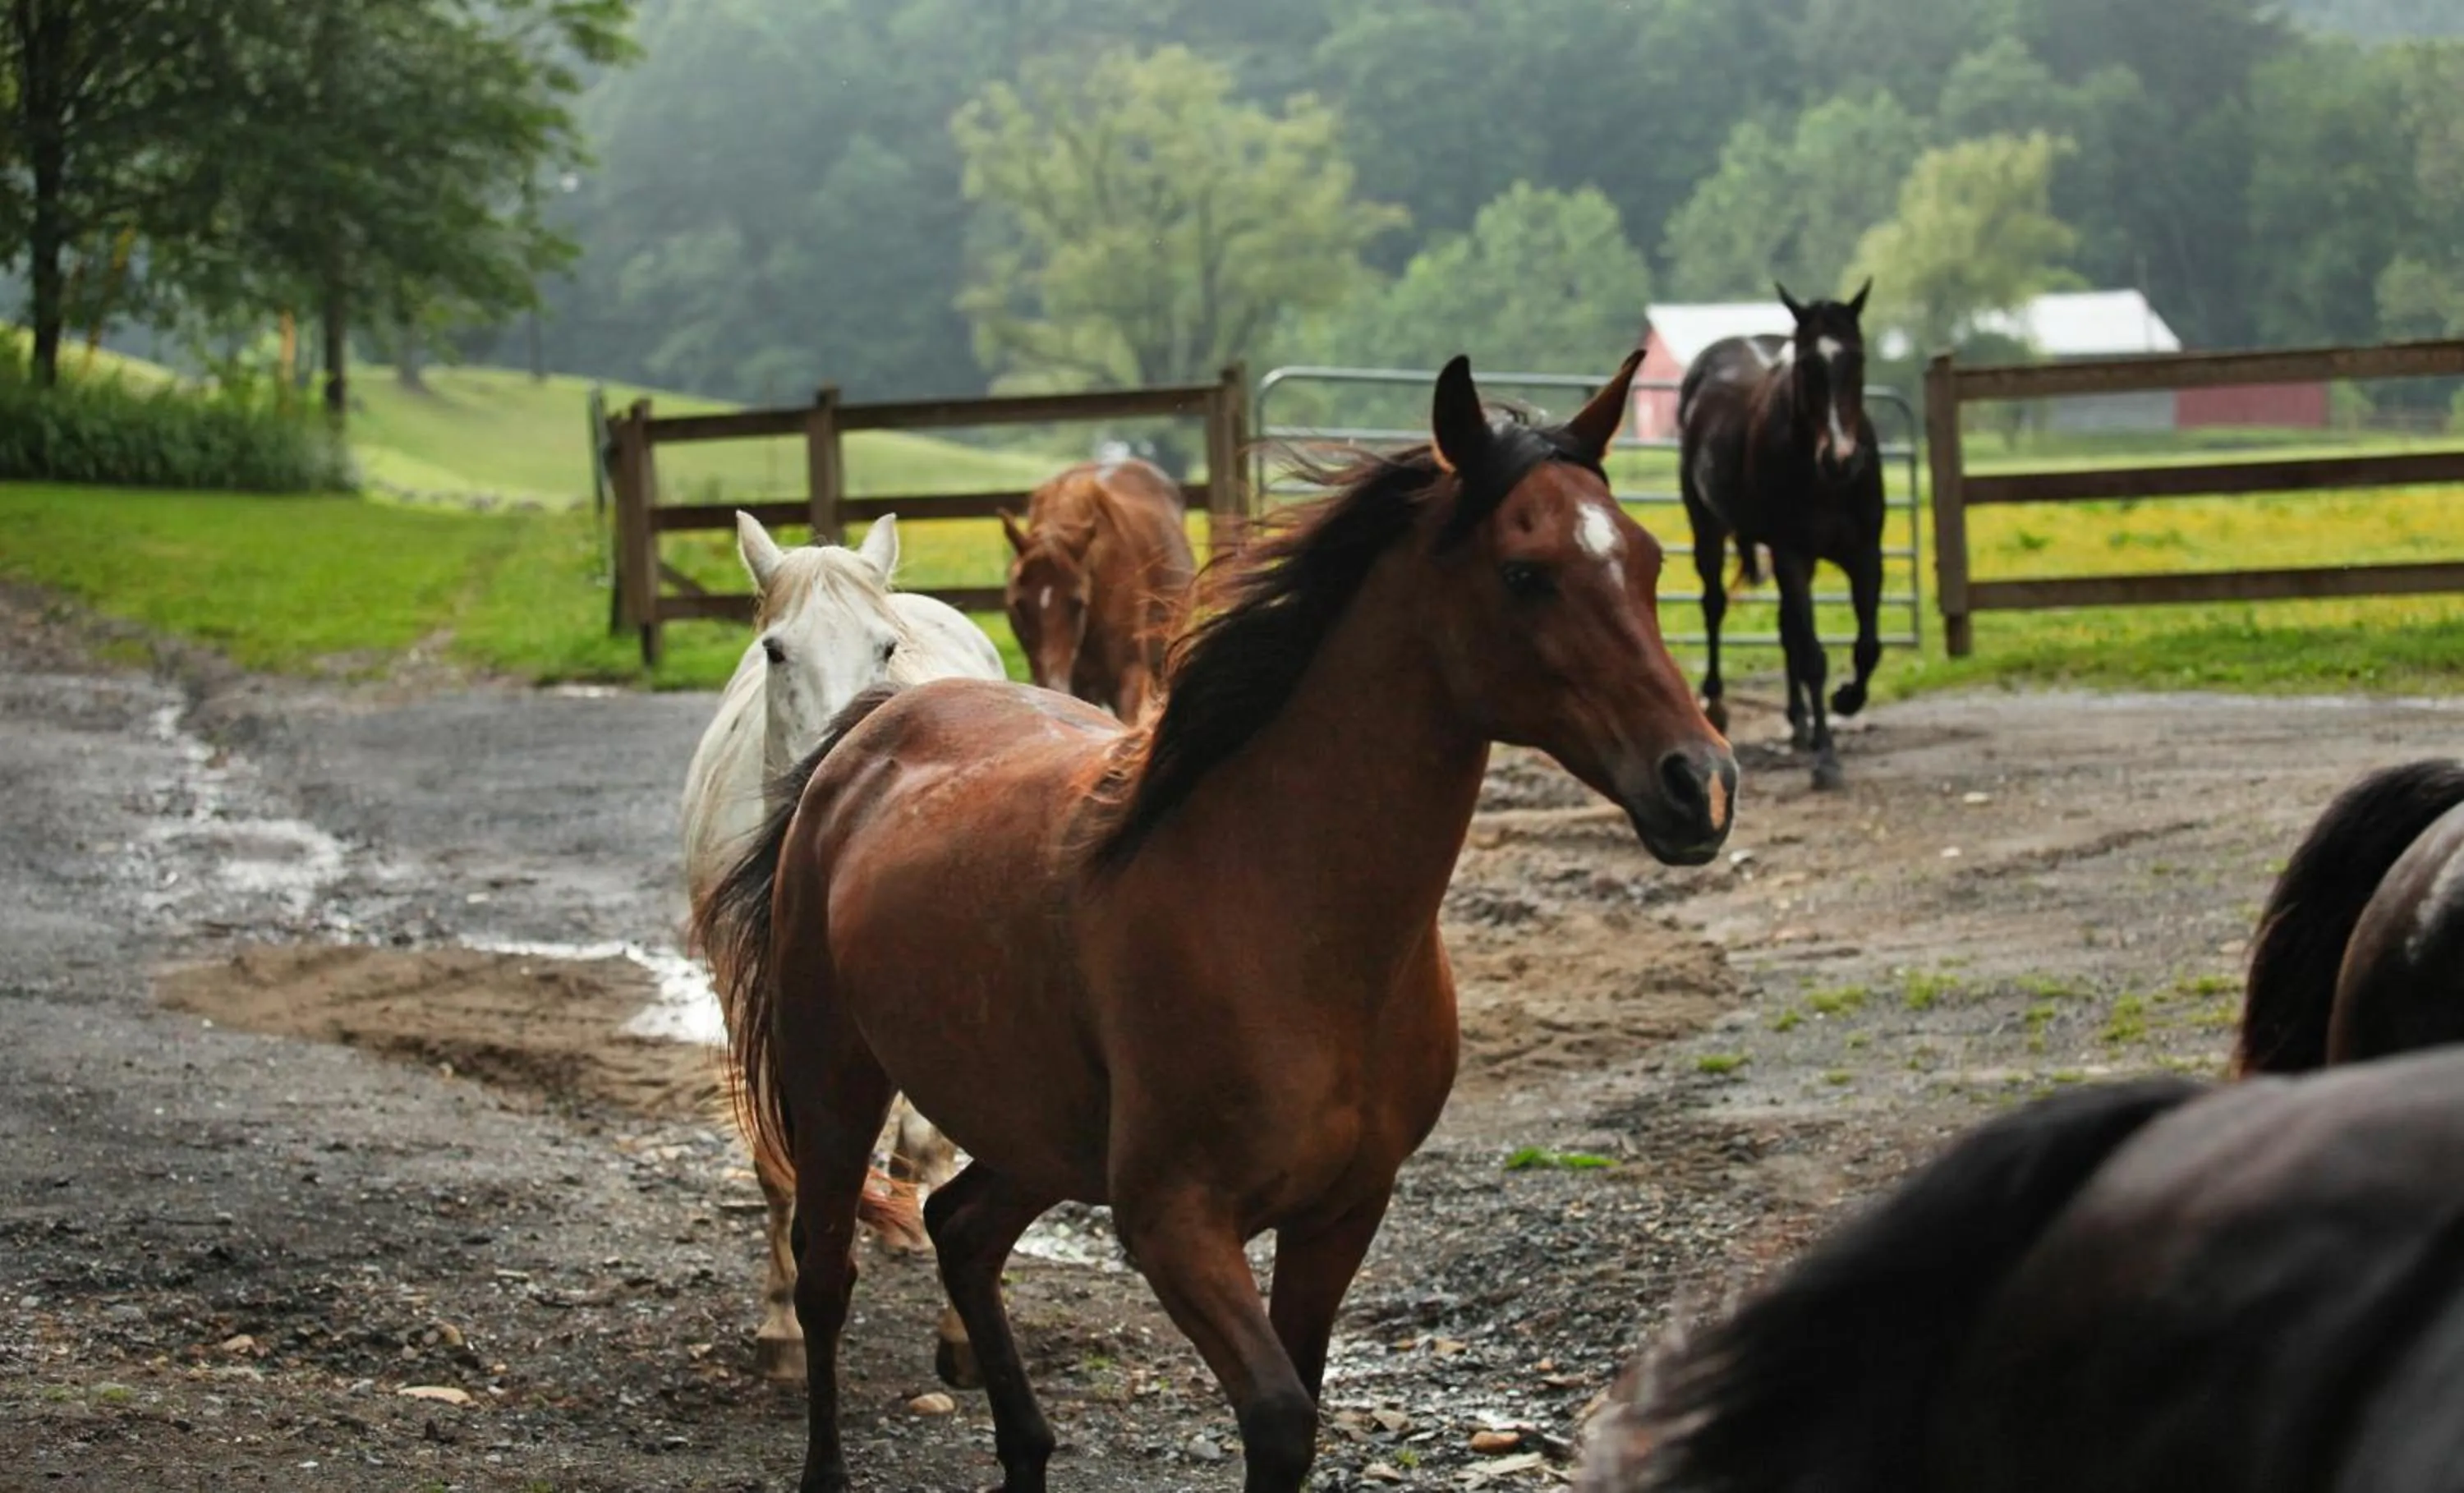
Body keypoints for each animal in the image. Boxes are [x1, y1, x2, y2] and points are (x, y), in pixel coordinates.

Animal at [679, 510, 1005, 1387]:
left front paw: (961, 1334)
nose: (842, 756)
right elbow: (778, 1162)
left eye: (885, 648)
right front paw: (784, 1326)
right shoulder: (747, 999)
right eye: (775, 650)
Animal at [1677, 281, 1886, 790]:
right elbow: (1812, 655)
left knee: (1786, 627)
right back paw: (1717, 703)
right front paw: (1828, 758)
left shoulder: (1865, 554)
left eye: (1858, 358)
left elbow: (1866, 647)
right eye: (1807, 365)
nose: (1841, 457)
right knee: (1715, 605)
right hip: (1706, 525)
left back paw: (1799, 722)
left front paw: (1846, 699)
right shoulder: (1793, 554)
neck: (1825, 479)